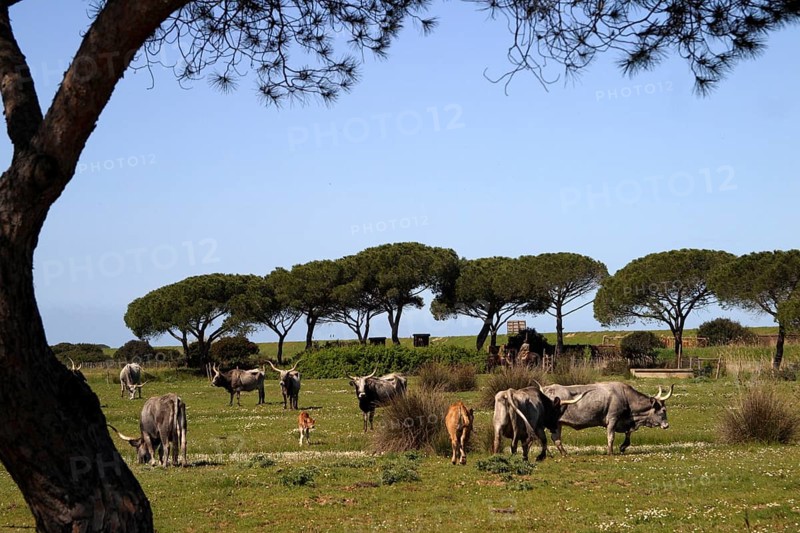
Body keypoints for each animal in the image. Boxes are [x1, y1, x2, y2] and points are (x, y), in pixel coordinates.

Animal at [542, 382, 674, 455]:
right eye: (663, 410)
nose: (667, 425)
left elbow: (628, 434)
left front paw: (623, 447)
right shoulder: (613, 419)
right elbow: (611, 437)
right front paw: (610, 452)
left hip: (557, 424)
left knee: (556, 438)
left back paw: (563, 453)